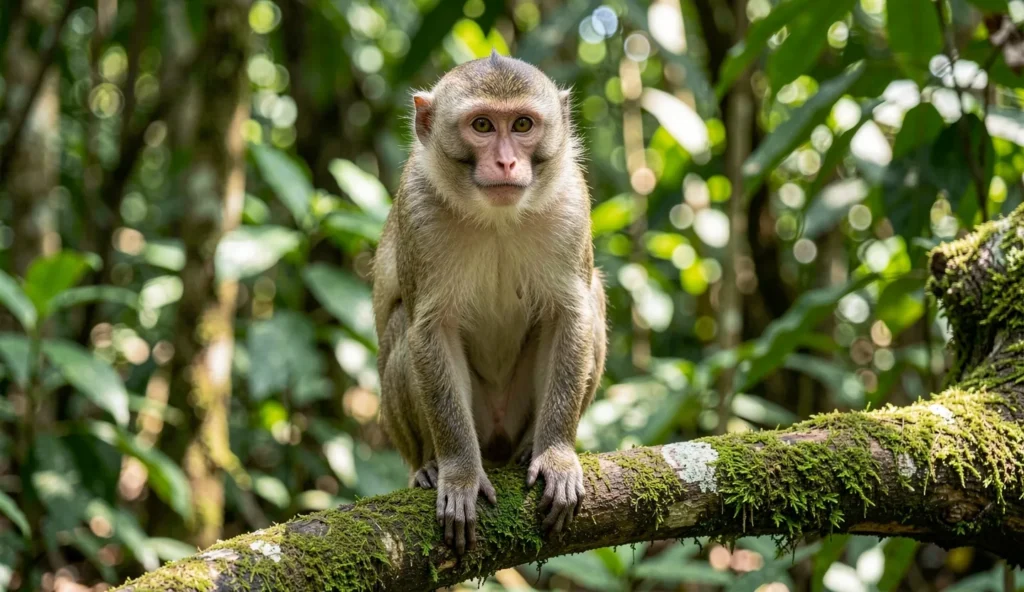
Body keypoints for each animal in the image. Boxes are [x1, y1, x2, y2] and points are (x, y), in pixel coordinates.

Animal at [372, 50, 607, 556]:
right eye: (482, 125)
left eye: (522, 124)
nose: (505, 161)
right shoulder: (419, 210)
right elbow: (429, 330)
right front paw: (459, 474)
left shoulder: (570, 200)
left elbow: (570, 315)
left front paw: (556, 455)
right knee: (401, 324)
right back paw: (428, 465)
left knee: (594, 296)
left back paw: (527, 448)